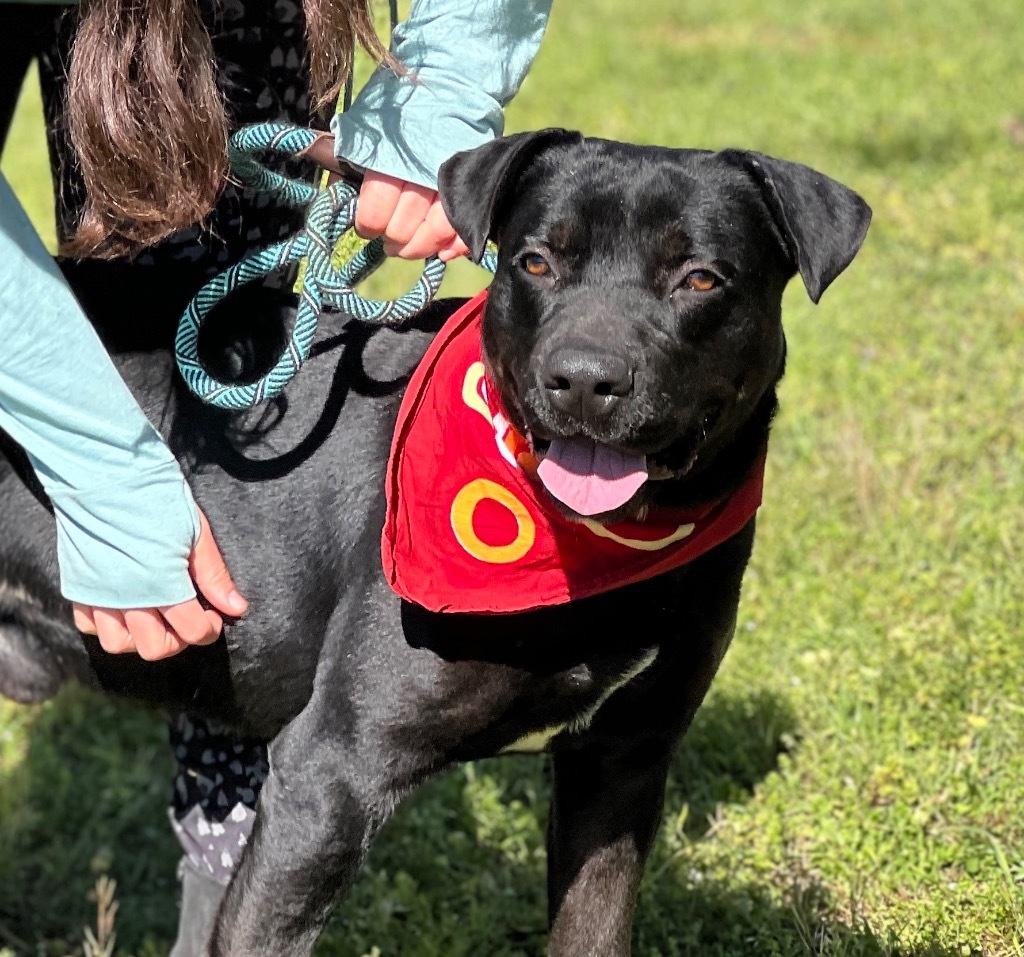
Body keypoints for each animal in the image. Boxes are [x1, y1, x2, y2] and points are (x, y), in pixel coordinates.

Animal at [0, 128, 872, 957]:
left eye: (700, 278)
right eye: (535, 261)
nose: (584, 379)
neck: (587, 541)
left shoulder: (622, 760)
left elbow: (593, 930)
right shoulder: (330, 773)